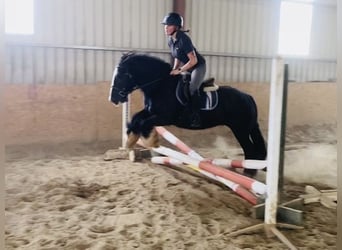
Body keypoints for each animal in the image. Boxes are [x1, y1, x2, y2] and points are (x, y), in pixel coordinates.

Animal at [109, 53, 268, 176]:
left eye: (121, 76)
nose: (113, 99)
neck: (160, 85)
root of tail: (248, 97)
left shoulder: (165, 118)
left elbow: (143, 123)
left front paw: (151, 141)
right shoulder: (150, 111)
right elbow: (135, 120)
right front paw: (131, 141)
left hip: (240, 129)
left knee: (250, 149)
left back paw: (249, 172)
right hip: (243, 128)